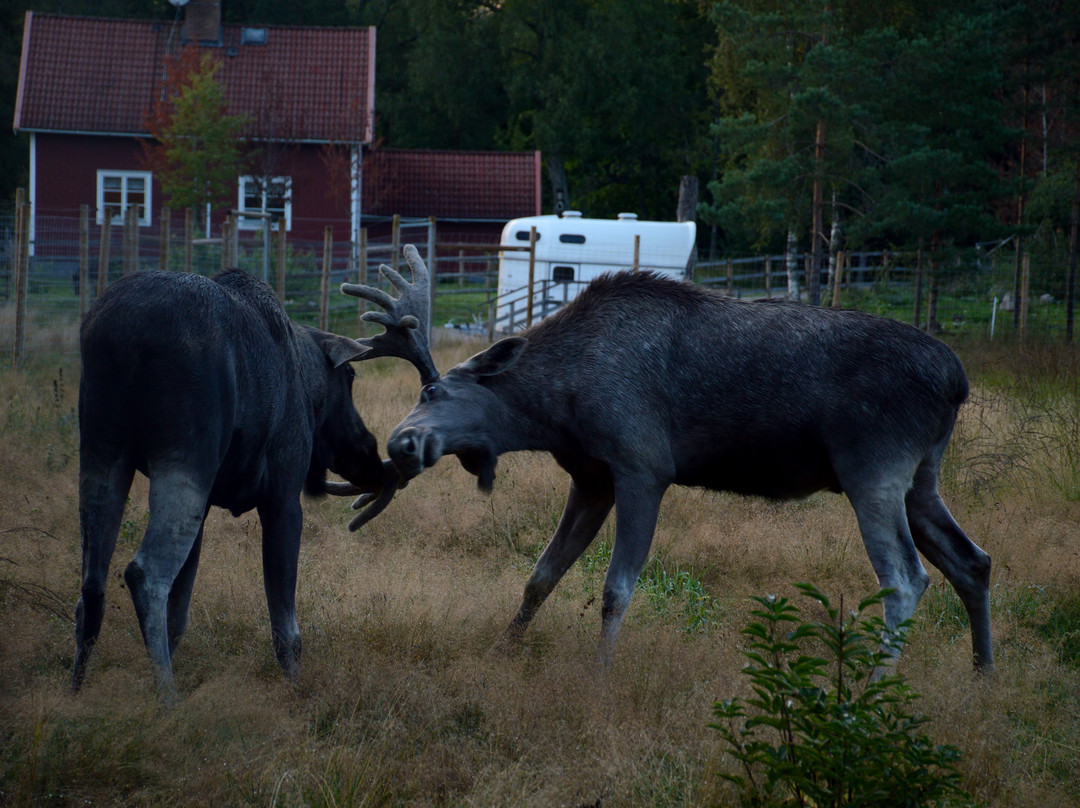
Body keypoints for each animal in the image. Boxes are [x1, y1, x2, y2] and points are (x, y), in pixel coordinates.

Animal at [76, 267, 427, 695]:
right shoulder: (282, 496)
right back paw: (167, 699)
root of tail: (123, 335)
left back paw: (75, 691)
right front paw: (295, 691)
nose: (369, 456)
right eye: (350, 374)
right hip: (185, 456)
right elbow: (287, 629)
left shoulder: (208, 505)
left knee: (92, 585)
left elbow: (179, 617)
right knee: (145, 573)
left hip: (102, 446)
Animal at [347, 244, 993, 669]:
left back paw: (870, 693)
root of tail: (958, 380)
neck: (557, 407)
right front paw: (502, 651)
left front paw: (599, 676)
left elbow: (616, 590)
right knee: (973, 561)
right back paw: (983, 674)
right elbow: (541, 575)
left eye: (431, 391)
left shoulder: (642, 467)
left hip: (873, 467)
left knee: (906, 580)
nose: (399, 445)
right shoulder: (591, 477)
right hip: (921, 476)